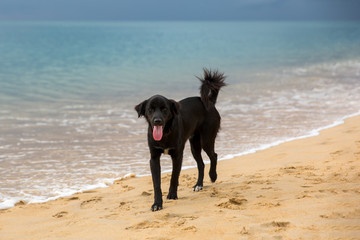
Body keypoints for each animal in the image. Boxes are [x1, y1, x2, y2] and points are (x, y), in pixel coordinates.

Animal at [135, 68, 225, 211]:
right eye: (150, 109)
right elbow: (156, 183)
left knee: (214, 155)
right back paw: (199, 185)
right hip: (194, 145)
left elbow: (174, 177)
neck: (165, 133)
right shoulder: (154, 158)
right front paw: (157, 204)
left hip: (206, 139)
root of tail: (210, 102)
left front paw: (172, 195)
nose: (157, 121)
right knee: (201, 164)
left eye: (164, 109)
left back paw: (213, 176)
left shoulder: (177, 155)